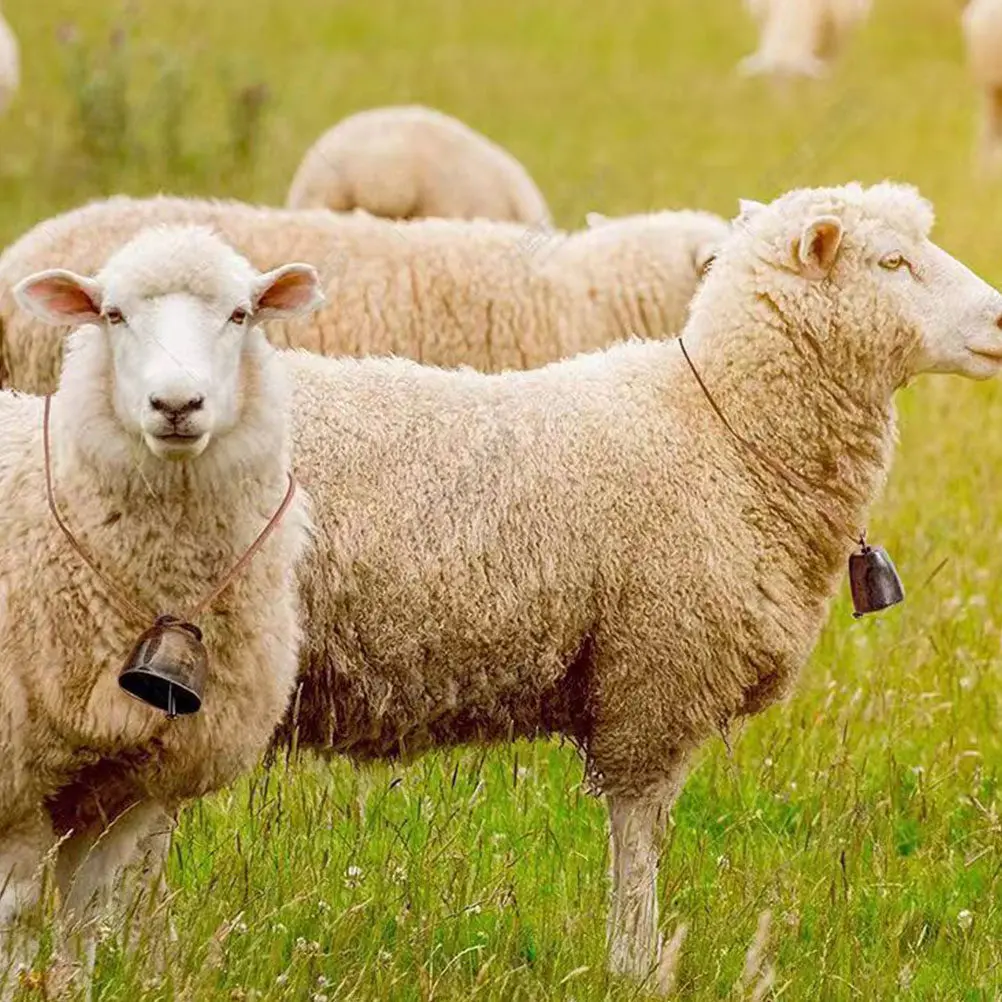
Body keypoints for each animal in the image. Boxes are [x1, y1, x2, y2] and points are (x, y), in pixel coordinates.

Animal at [0, 224, 321, 992]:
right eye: (112, 315)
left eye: (240, 314)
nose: (177, 406)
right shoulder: (15, 780)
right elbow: (19, 920)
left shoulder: (125, 788)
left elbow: (85, 919)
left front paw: (73, 989)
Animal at [263, 180, 1001, 988]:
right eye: (892, 261)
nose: (1001, 318)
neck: (724, 434)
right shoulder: (654, 672)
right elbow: (639, 833)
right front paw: (638, 963)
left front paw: (633, 956)